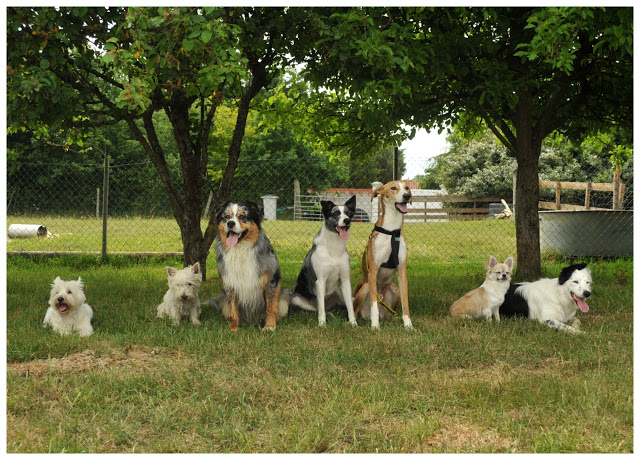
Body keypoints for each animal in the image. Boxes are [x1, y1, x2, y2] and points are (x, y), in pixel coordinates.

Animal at [292, 194, 358, 328]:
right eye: (336, 213)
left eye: (348, 213)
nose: (347, 220)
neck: (333, 245)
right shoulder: (320, 281)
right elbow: (321, 307)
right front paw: (322, 324)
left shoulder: (345, 280)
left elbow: (350, 306)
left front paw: (353, 322)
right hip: (296, 299)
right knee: (319, 308)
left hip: (338, 292)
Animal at [352, 181, 412, 328]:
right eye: (393, 188)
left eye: (407, 188)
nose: (406, 196)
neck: (392, 230)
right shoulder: (373, 270)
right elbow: (374, 305)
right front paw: (375, 326)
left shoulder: (402, 272)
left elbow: (406, 304)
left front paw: (409, 325)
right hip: (365, 287)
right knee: (356, 310)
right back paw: (354, 323)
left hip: (395, 289)